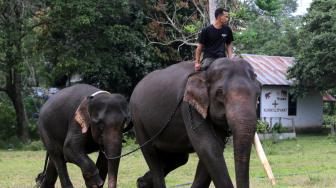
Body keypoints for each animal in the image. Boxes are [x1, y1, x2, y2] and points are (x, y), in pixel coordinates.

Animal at [131, 58, 260, 187]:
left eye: (258, 93)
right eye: (219, 93)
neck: (205, 71)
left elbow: (215, 146)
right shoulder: (188, 106)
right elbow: (207, 146)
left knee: (178, 158)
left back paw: (141, 183)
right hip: (139, 121)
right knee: (152, 155)